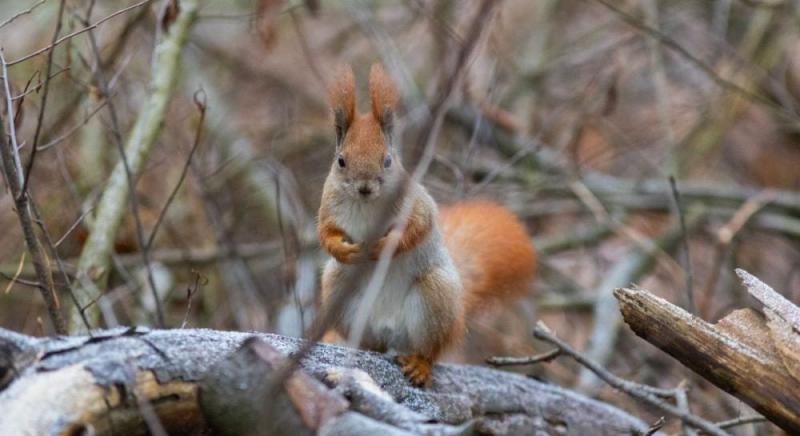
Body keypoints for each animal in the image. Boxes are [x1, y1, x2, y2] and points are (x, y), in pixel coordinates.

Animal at [318, 63, 536, 384]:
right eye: (341, 161)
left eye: (388, 160)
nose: (365, 187)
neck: (367, 205)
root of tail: (388, 330)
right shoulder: (328, 208)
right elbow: (326, 234)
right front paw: (345, 250)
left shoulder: (417, 205)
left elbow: (417, 228)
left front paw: (385, 246)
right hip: (338, 290)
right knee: (371, 341)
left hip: (436, 295)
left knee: (430, 349)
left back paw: (420, 364)